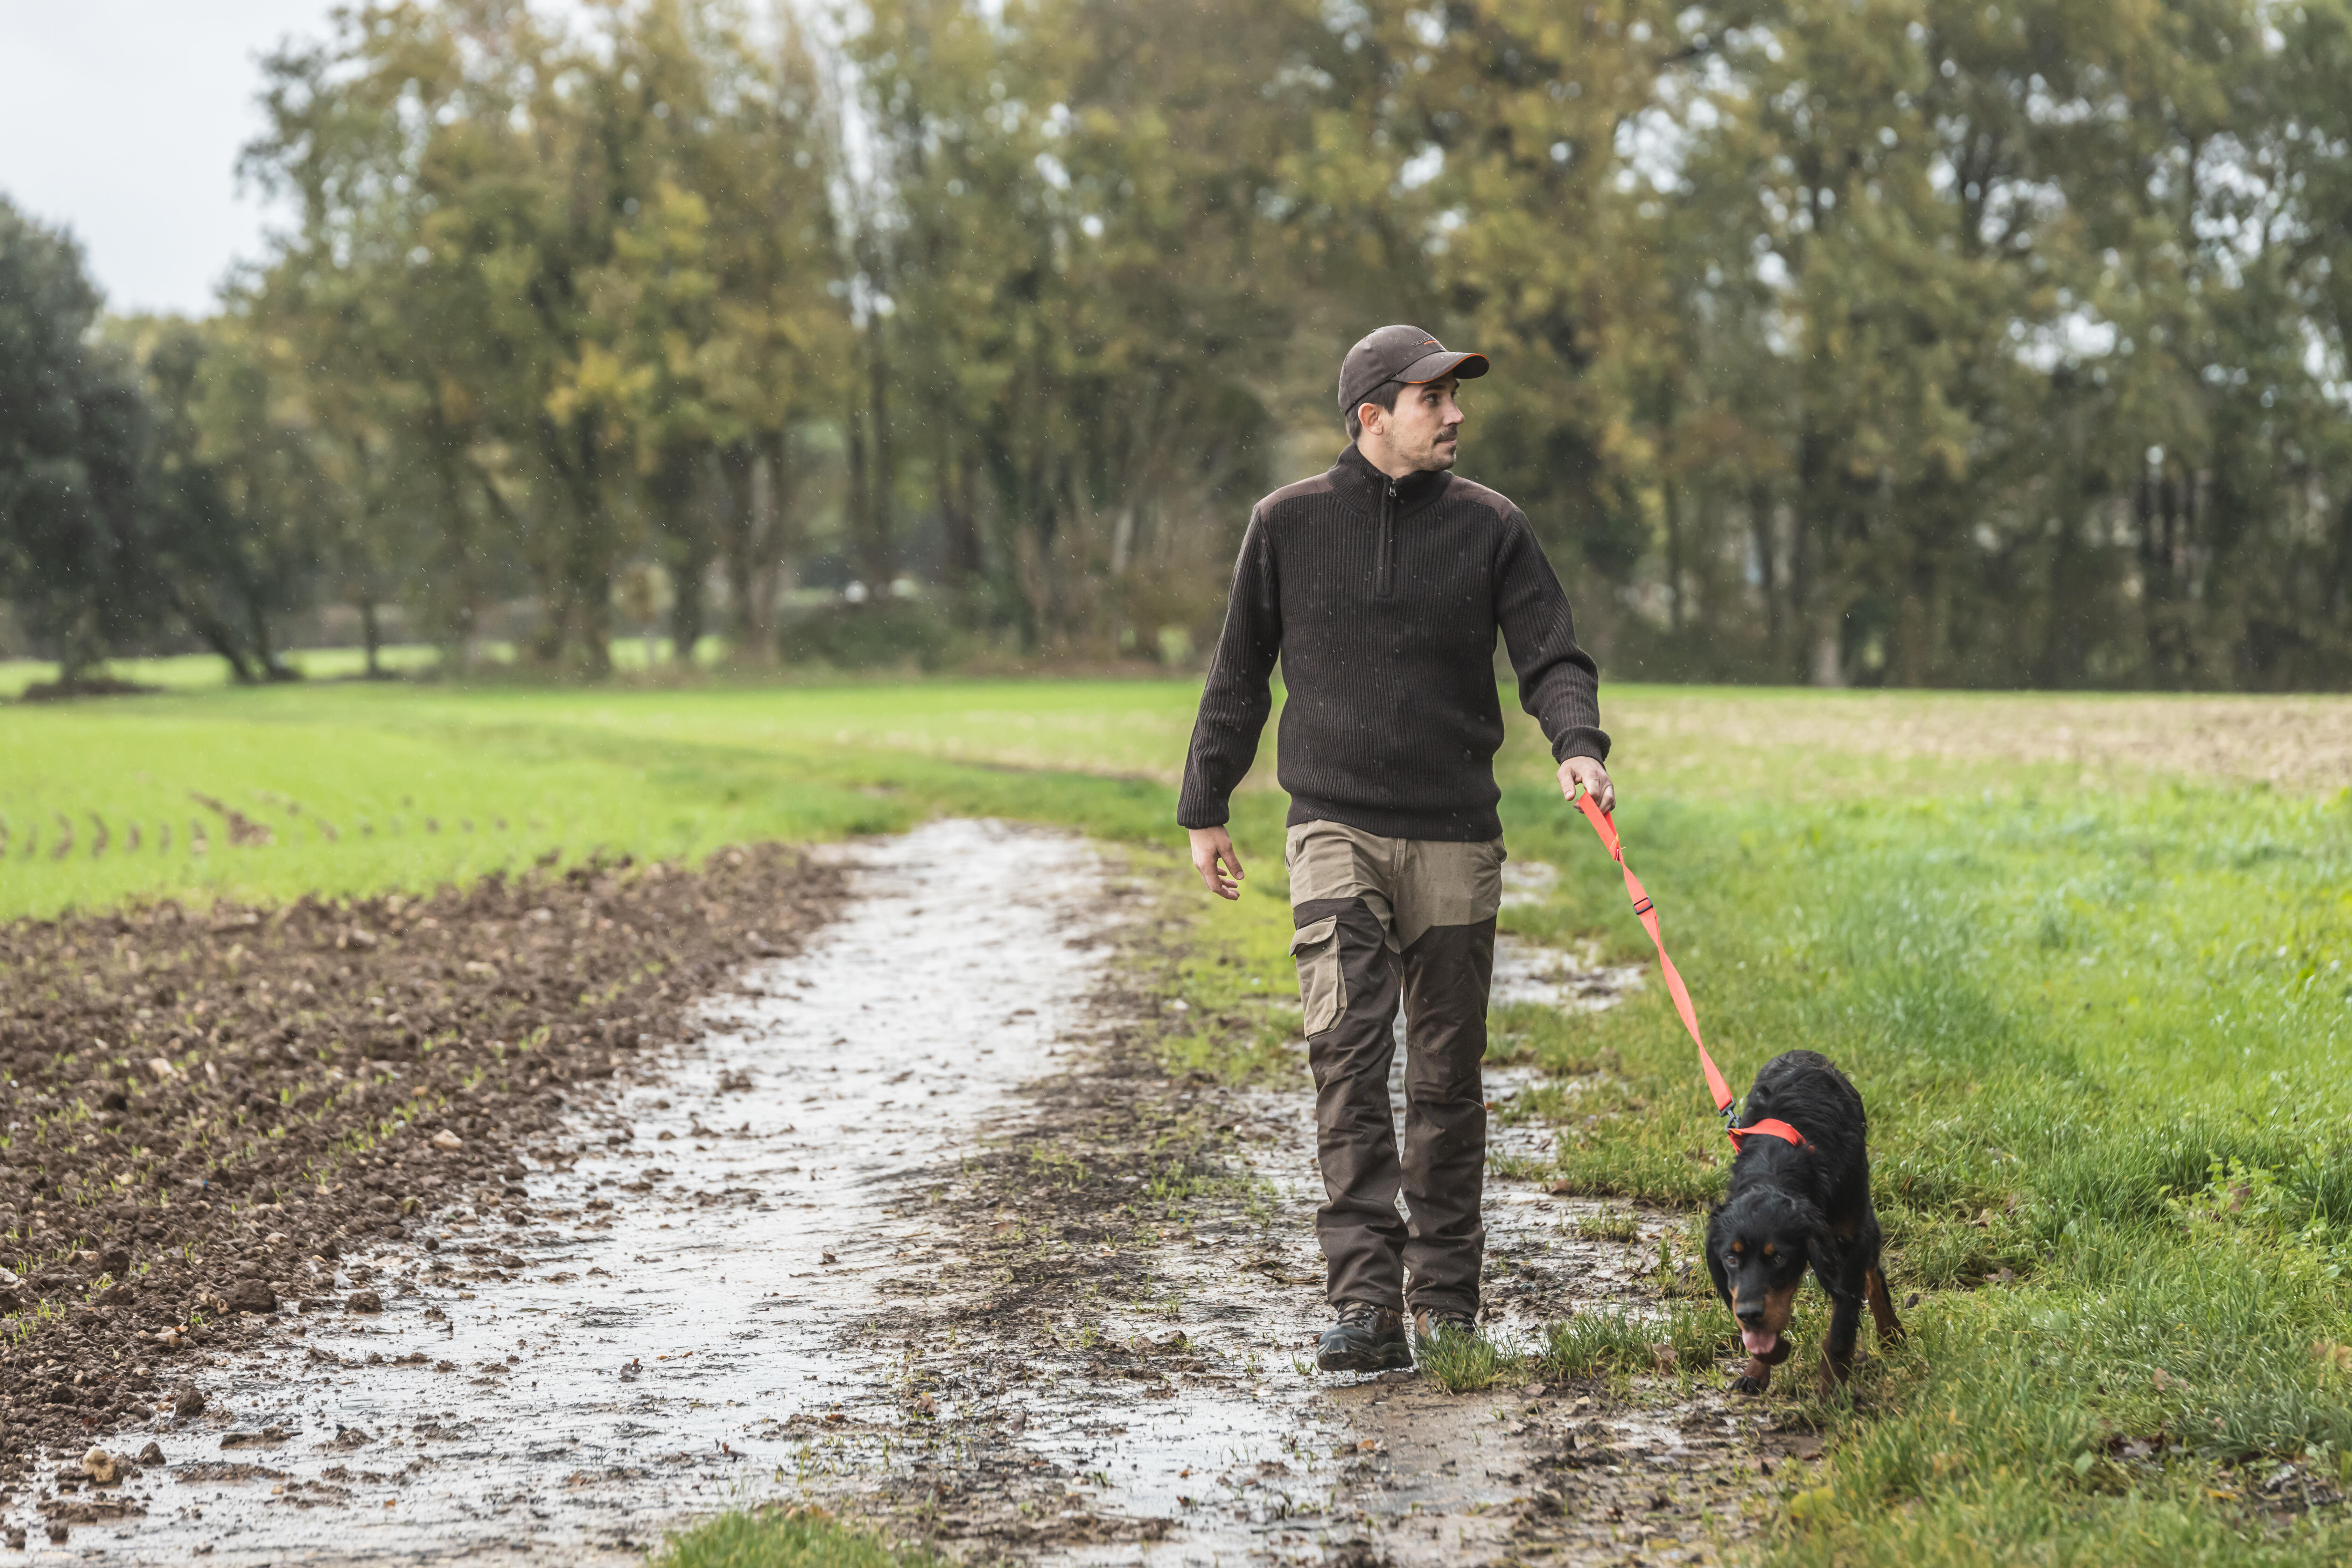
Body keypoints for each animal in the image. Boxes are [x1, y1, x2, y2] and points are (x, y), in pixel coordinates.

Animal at [1712, 1048, 1910, 1392]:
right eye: (1730, 1259)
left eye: (1779, 1257)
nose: (1749, 1314)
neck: (1777, 1165)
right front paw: (1760, 1366)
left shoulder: (1848, 1244)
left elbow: (1843, 1325)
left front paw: (1832, 1391)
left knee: (1874, 1273)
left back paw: (1891, 1334)